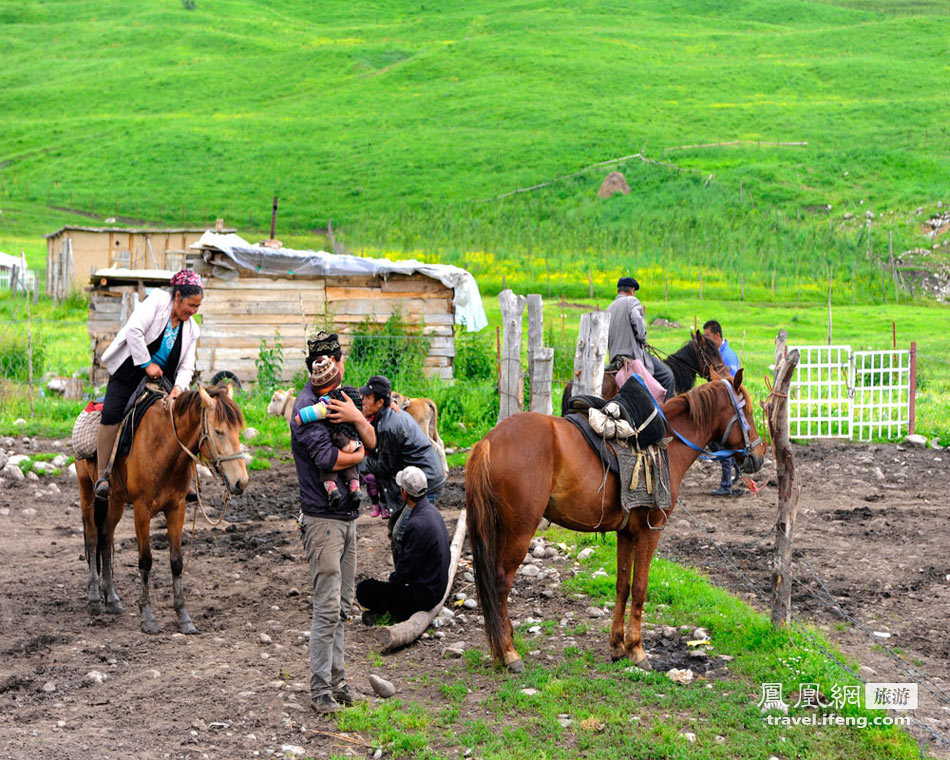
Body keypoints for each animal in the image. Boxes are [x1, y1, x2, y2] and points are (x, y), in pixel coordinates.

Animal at [77, 386, 247, 636]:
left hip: (116, 500)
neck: (164, 448)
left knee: (106, 536)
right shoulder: (141, 509)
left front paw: (184, 617)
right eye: (218, 431)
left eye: (238, 431)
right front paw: (148, 617)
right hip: (86, 489)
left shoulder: (177, 508)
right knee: (91, 536)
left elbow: (176, 561)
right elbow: (145, 560)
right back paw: (94, 598)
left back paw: (113, 598)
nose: (240, 482)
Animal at [468, 368, 768, 672]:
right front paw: (637, 649)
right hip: (519, 531)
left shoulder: (627, 532)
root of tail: (488, 441)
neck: (669, 444)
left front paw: (617, 646)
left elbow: (623, 586)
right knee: (501, 583)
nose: (758, 455)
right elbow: (640, 588)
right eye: (748, 411)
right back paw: (509, 653)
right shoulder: (651, 530)